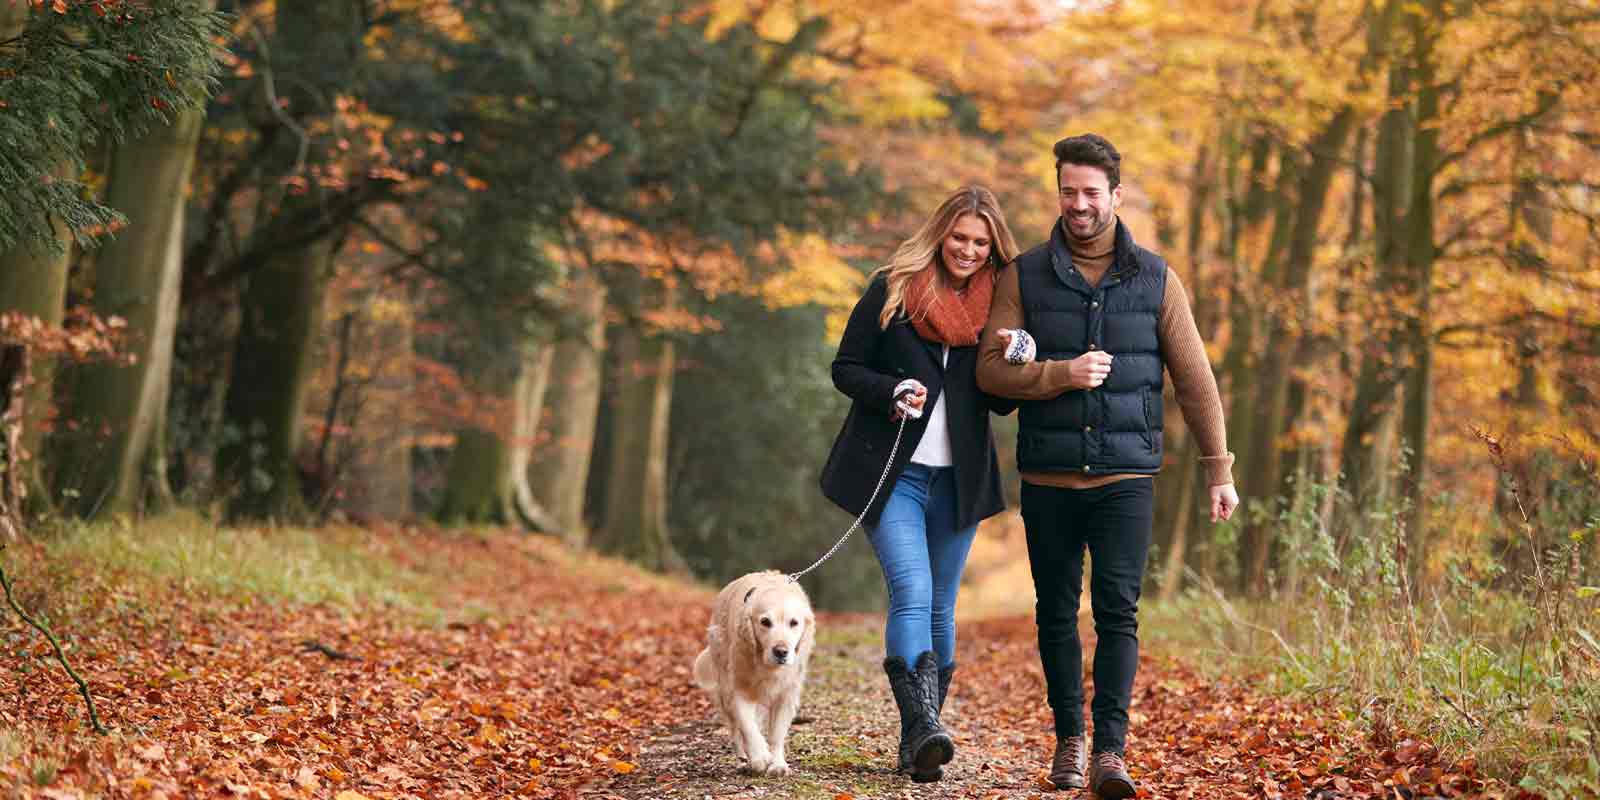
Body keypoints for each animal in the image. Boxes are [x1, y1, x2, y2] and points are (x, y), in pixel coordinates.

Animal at [691, 569, 812, 774]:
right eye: (765, 622)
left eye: (794, 623)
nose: (781, 652)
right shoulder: (739, 689)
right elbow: (748, 726)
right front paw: (759, 757)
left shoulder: (786, 694)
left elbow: (776, 734)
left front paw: (777, 764)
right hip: (724, 685)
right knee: (735, 727)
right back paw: (742, 755)